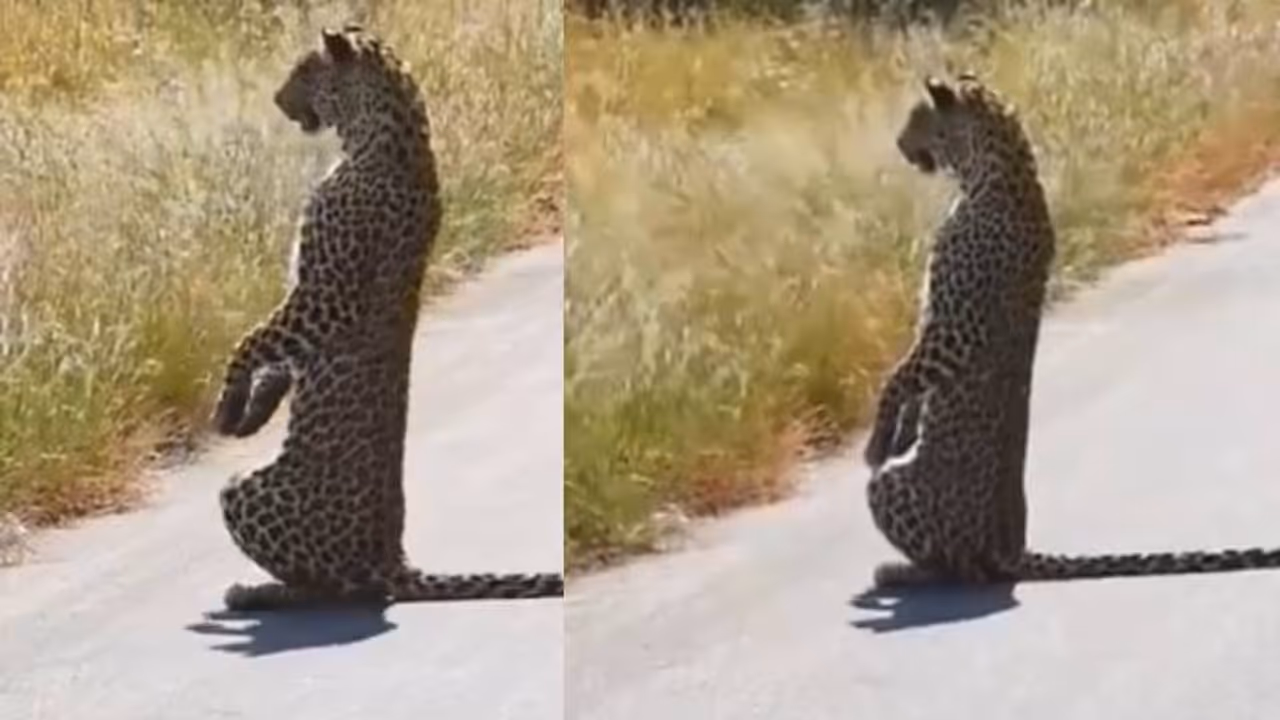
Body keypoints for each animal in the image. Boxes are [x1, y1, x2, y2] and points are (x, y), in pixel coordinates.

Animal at [210, 25, 563, 611]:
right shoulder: (307, 295)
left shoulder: (327, 297)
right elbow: (278, 350)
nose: (278, 100)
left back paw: (254, 592)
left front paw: (227, 405)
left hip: (246, 488)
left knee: (336, 590)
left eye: (305, 71)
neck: (377, 135)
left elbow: (254, 338)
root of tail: (394, 560)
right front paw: (256, 409)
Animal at [864, 74, 1280, 588]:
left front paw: (876, 442)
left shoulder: (954, 330)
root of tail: (1014, 550)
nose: (899, 144)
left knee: (961, 569)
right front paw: (901, 432)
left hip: (895, 488)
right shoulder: (935, 322)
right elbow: (910, 381)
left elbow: (899, 376)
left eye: (916, 119)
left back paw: (897, 572)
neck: (986, 171)